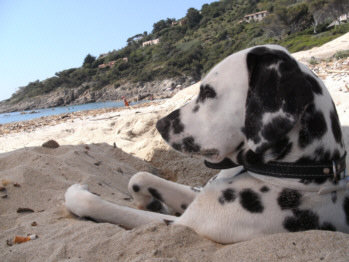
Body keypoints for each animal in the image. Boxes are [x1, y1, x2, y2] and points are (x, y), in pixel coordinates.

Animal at [64, 45, 346, 244]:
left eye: (208, 92)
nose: (160, 125)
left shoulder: (184, 224)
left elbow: (101, 206)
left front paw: (78, 194)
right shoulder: (198, 194)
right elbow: (140, 175)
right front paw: (150, 200)